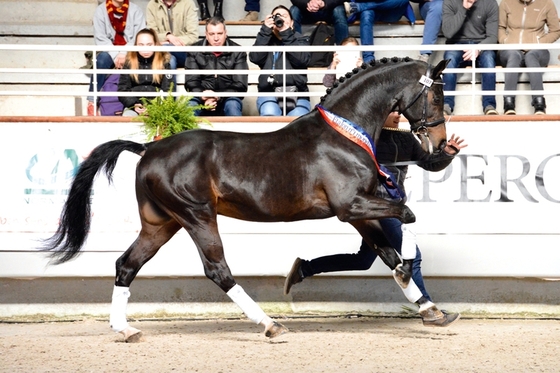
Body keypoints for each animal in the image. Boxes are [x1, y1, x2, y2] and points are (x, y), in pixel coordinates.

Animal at [43, 57, 448, 340]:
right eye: (437, 95)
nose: (441, 143)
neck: (344, 133)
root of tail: (148, 148)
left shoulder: (359, 211)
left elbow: (389, 252)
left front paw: (431, 310)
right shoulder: (350, 206)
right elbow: (406, 215)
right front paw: (413, 269)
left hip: (162, 223)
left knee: (126, 265)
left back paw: (125, 330)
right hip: (197, 216)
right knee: (217, 270)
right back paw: (270, 325)